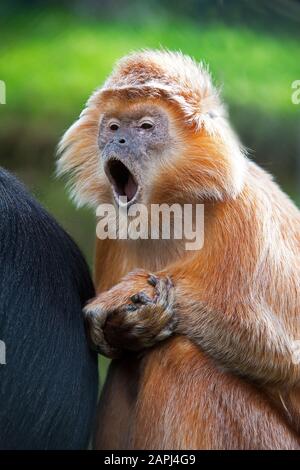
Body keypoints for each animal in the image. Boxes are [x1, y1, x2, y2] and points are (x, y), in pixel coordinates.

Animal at [56, 49, 300, 450]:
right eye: (113, 128)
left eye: (144, 127)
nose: (117, 142)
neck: (171, 208)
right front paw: (127, 326)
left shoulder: (244, 214)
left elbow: (284, 357)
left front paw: (130, 293)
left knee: (180, 352)